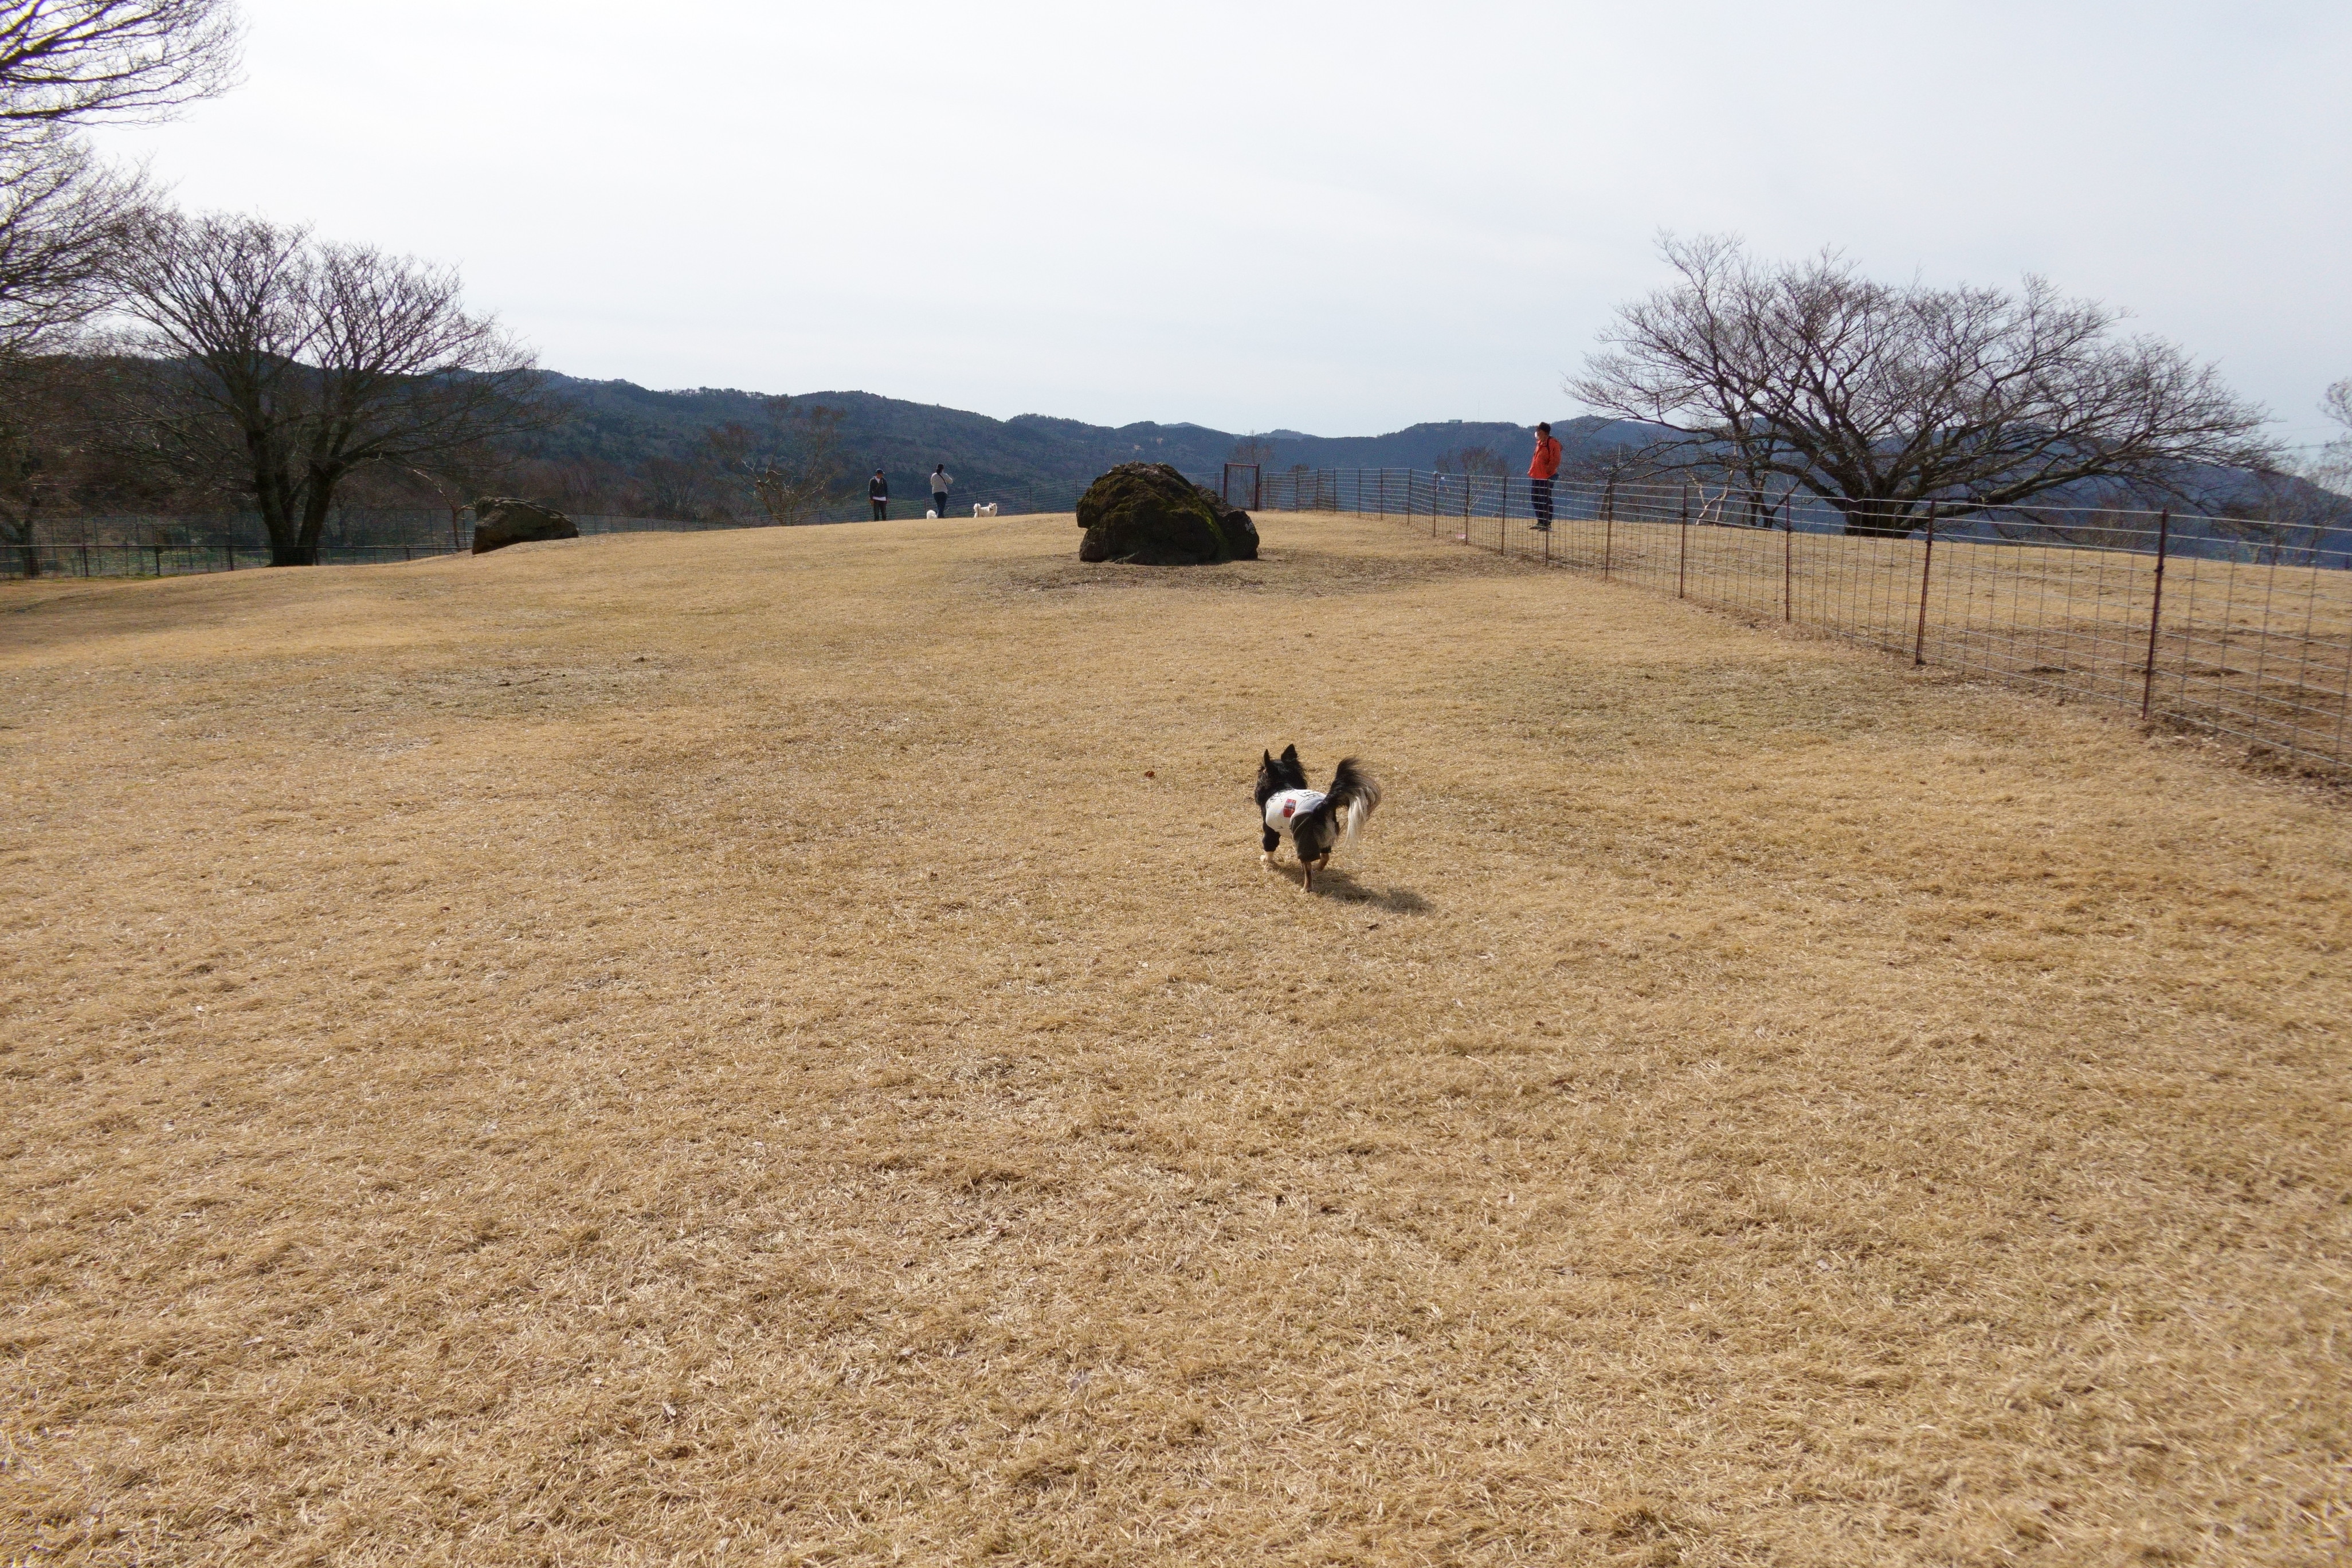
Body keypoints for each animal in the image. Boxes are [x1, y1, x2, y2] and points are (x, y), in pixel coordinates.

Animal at [1251, 747, 1373, 893]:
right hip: (1326, 835)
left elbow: (1269, 846)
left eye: (1261, 772)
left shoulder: (1270, 830)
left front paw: (1266, 860)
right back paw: (1318, 869)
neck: (1282, 785)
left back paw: (1306, 888)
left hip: (1304, 838)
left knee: (1308, 866)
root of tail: (1322, 806)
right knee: (1325, 857)